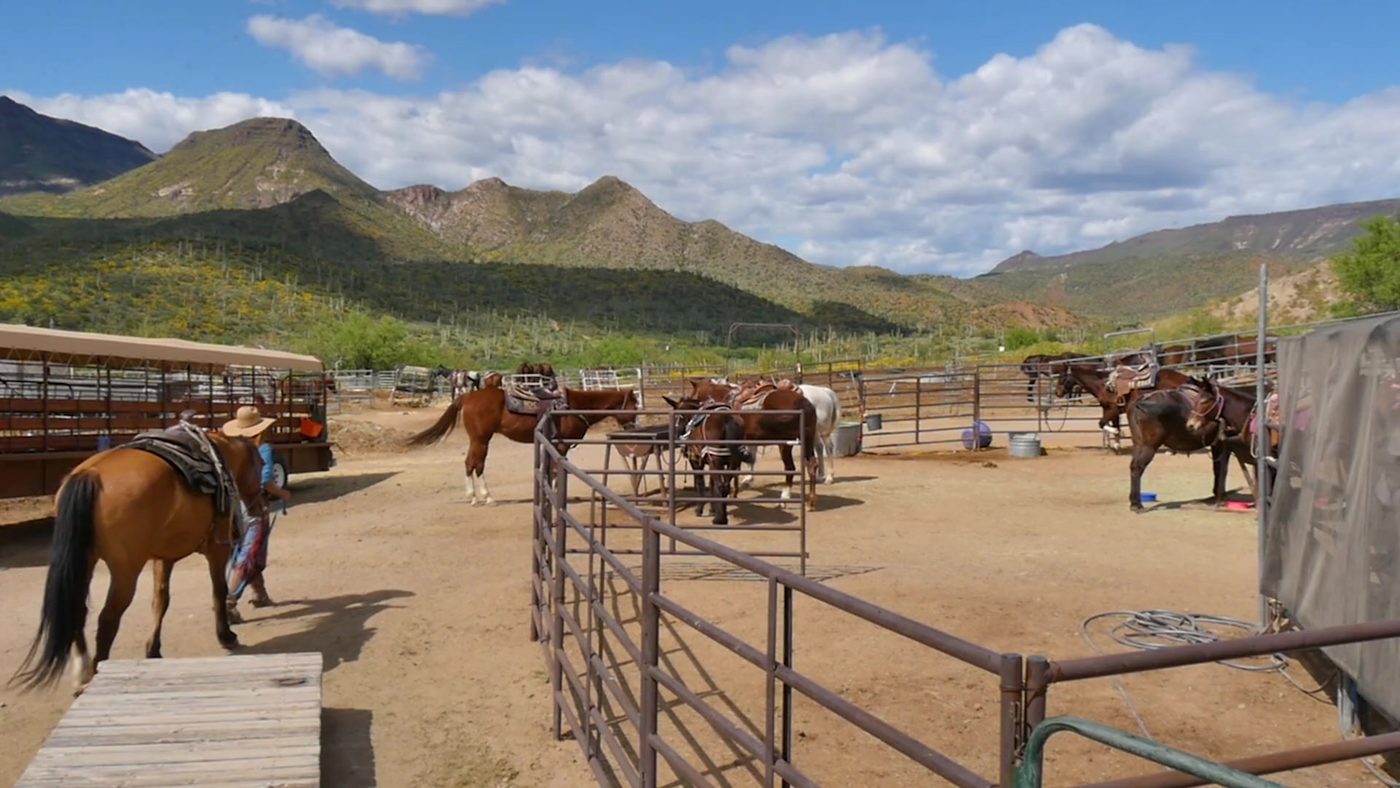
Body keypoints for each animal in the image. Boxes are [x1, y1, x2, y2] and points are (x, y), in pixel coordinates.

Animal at [9, 433, 267, 694]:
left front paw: (153, 649)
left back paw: (82, 671)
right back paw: (96, 671)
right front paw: (226, 636)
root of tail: (90, 474)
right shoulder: (217, 550)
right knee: (107, 620)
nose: (261, 506)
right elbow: (218, 591)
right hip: (125, 573)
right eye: (262, 464)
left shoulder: (164, 557)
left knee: (79, 610)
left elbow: (160, 601)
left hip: (86, 563)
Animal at [406, 386, 639, 505]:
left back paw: (473, 496)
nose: (633, 427)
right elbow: (557, 470)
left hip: (477, 440)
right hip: (481, 440)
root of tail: (468, 396)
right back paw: (486, 497)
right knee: (477, 464)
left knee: (469, 463)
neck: (574, 406)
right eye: (634, 406)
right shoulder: (561, 445)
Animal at [662, 395, 753, 525]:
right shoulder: (713, 462)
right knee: (725, 486)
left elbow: (701, 483)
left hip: (717, 461)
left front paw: (700, 509)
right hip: (732, 462)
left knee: (721, 486)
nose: (677, 435)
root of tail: (727, 419)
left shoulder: (696, 461)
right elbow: (711, 485)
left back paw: (719, 519)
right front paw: (713, 508)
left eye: (677, 416)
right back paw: (722, 515)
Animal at [689, 378, 819, 510]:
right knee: (812, 465)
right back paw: (811, 502)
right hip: (807, 439)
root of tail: (804, 404)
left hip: (785, 443)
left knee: (790, 468)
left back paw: (784, 499)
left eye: (692, 396)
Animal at [1126, 376, 1257, 511]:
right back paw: (1136, 503)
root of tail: (1140, 401)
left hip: (1139, 444)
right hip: (1149, 446)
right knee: (1138, 467)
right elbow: (1221, 469)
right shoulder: (1222, 445)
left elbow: (1218, 468)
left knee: (1133, 466)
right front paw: (1220, 495)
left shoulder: (1218, 445)